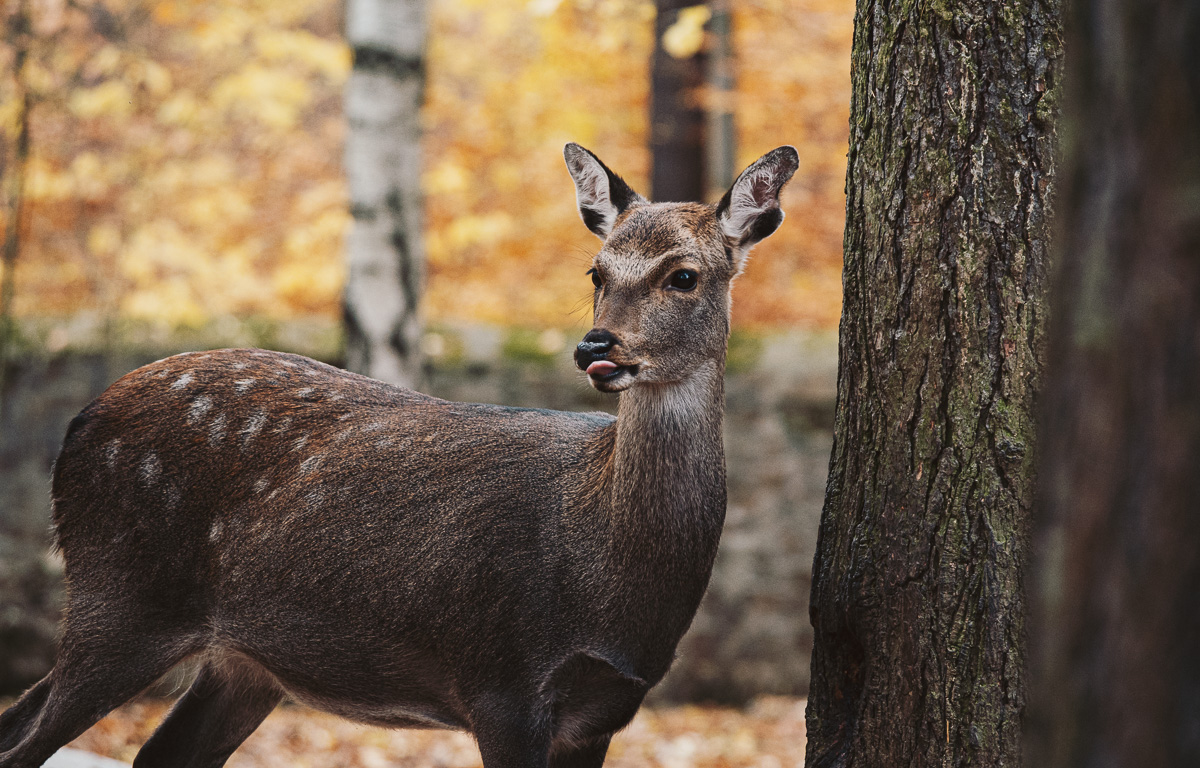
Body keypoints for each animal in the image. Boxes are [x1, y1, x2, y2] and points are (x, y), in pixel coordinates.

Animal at [0, 144, 796, 768]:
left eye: (684, 274)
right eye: (596, 273)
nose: (596, 347)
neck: (605, 571)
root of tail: (79, 424)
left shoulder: (604, 709)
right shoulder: (501, 682)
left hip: (240, 659)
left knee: (148, 750)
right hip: (121, 594)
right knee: (26, 741)